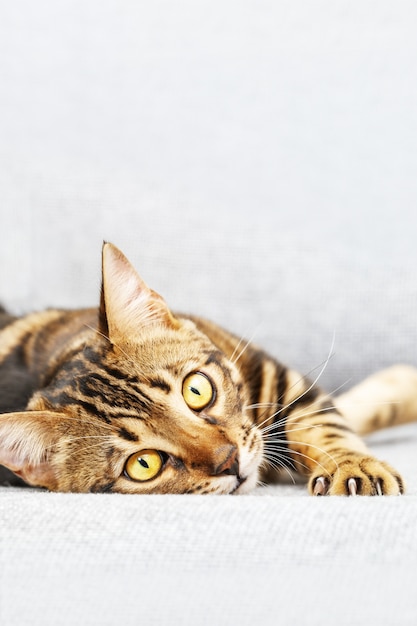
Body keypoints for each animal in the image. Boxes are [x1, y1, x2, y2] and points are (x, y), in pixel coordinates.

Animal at [0, 241, 414, 494]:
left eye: (196, 390)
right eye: (144, 464)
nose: (230, 461)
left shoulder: (277, 379)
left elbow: (326, 425)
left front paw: (355, 465)